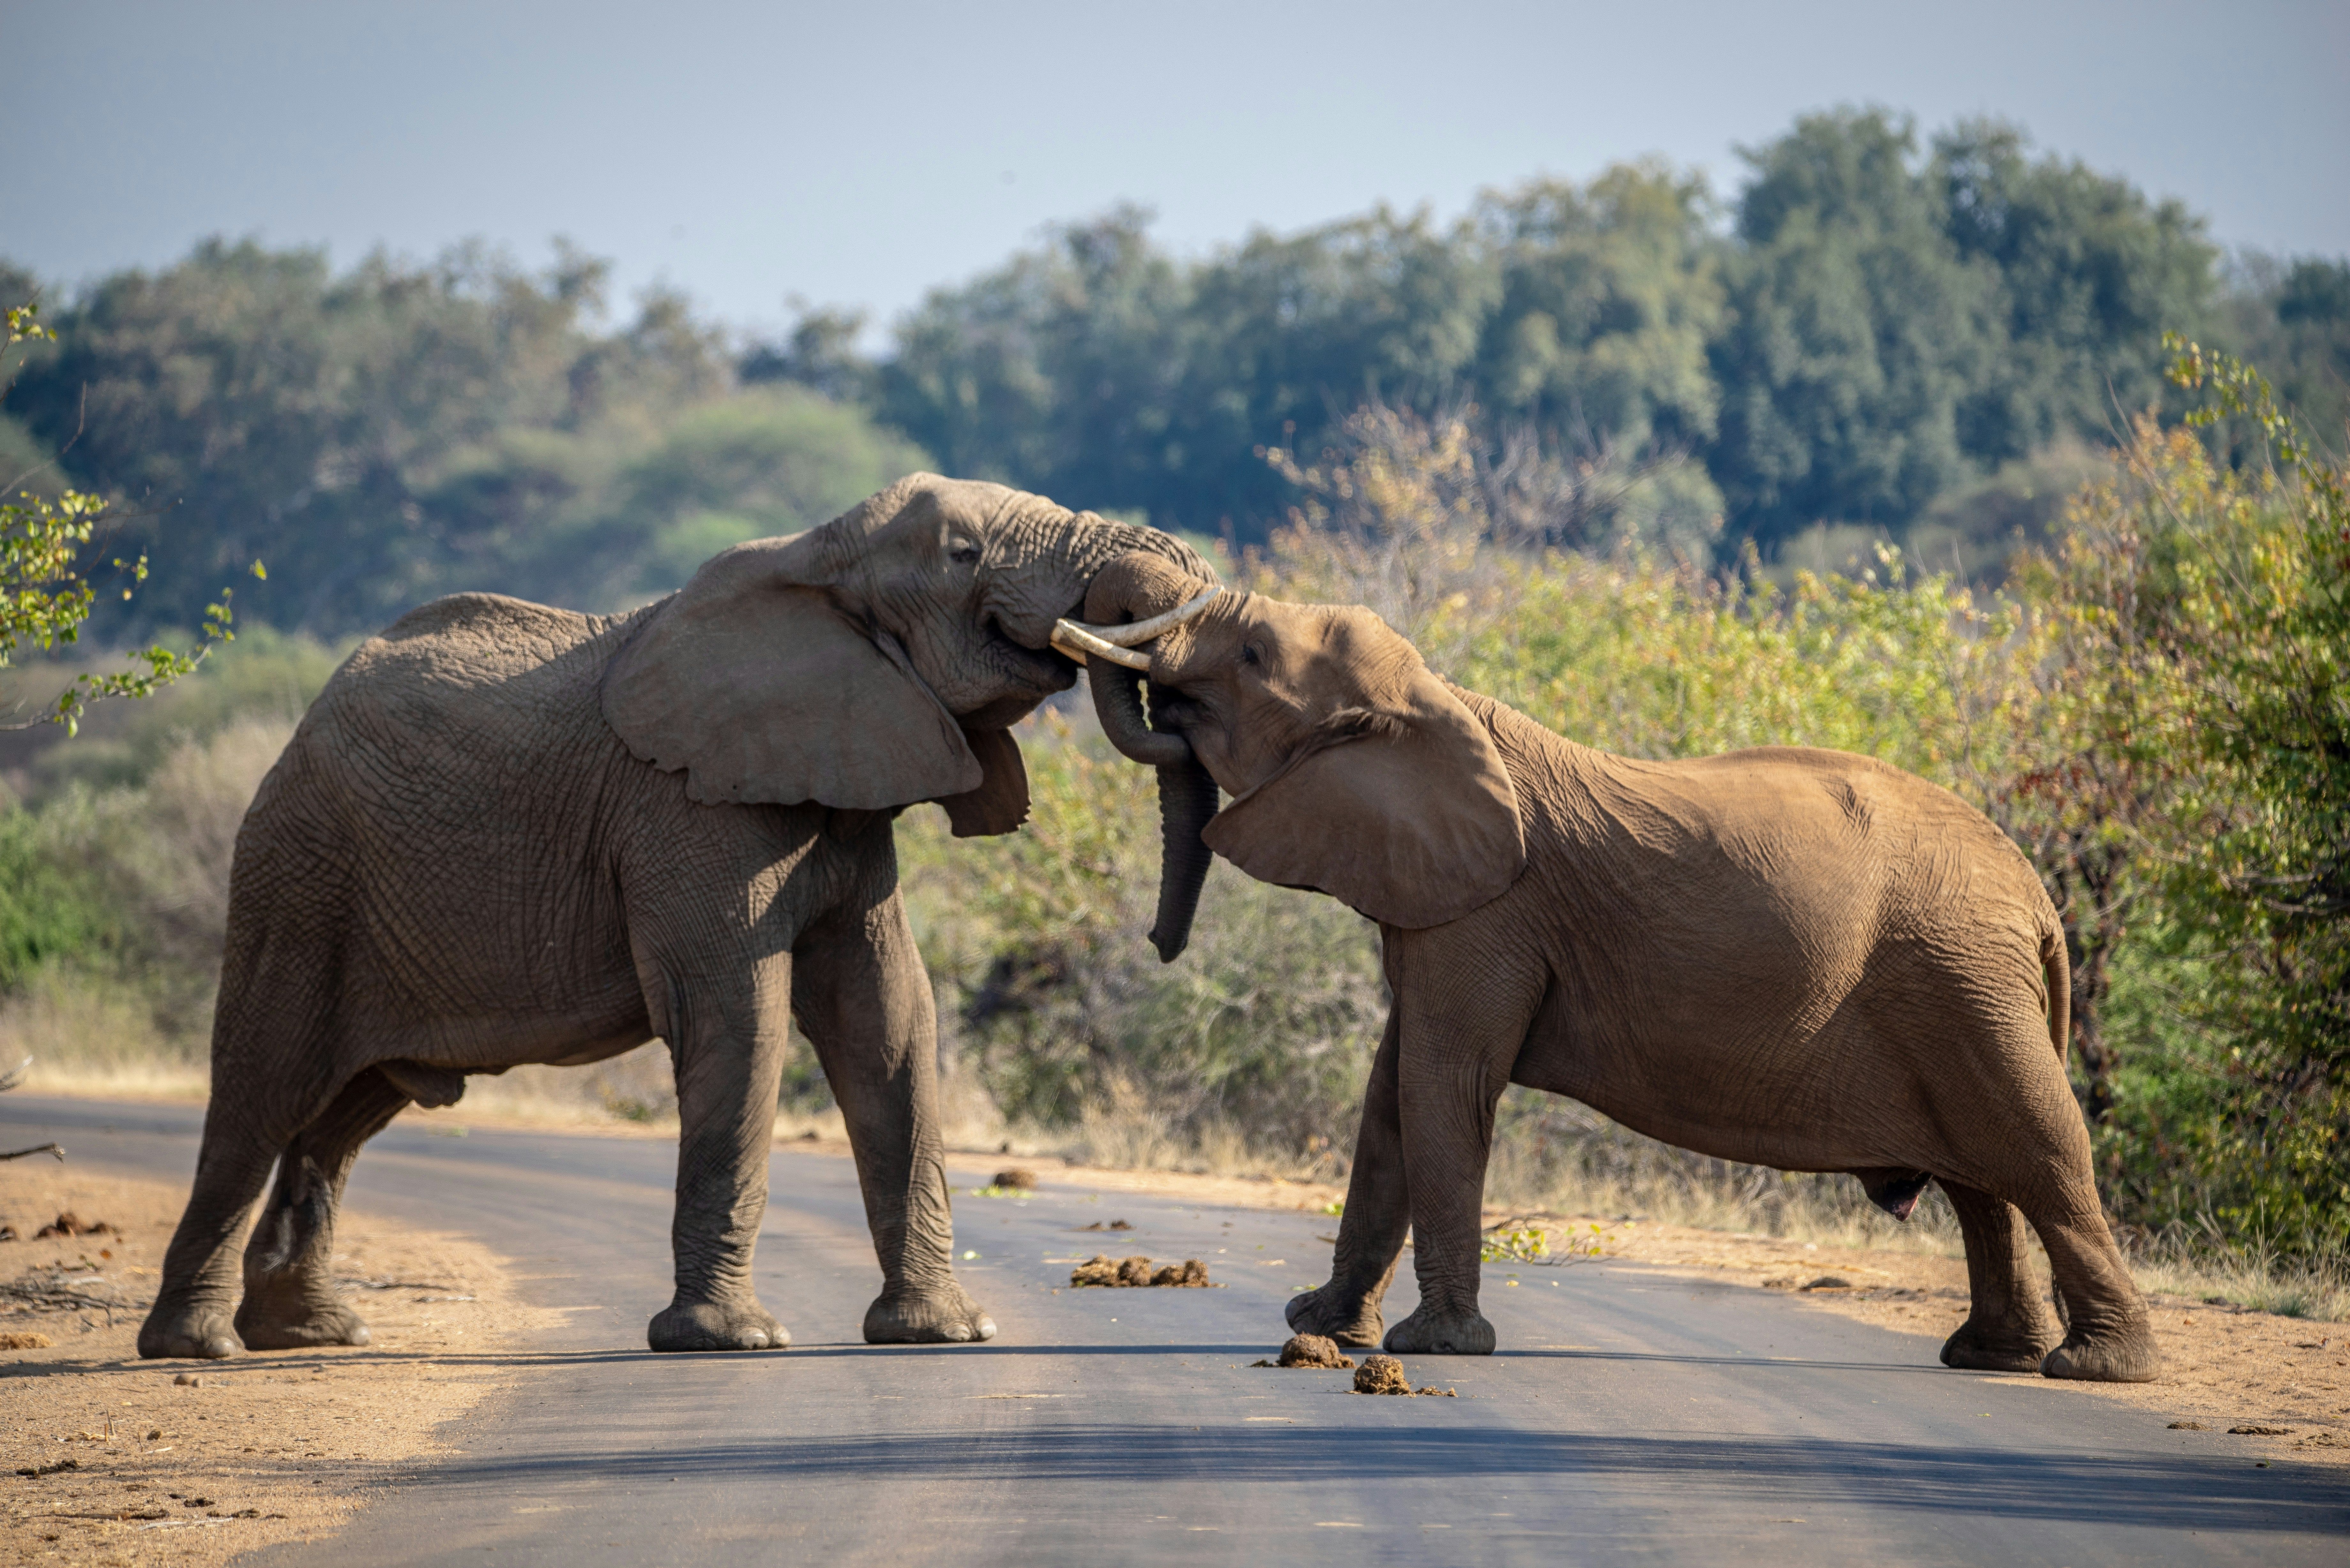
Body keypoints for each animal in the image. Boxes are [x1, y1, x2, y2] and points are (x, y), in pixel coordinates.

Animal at [139, 474, 1222, 1361]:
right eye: (962, 554)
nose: (1160, 945)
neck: (815, 553)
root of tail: (299, 732)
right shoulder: (687, 809)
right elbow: (738, 1015)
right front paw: (729, 1341)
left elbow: (888, 1019)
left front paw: (944, 1334)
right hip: (298, 876)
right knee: (261, 1090)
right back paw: (198, 1348)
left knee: (346, 1113)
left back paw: (311, 1334)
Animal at [1058, 554, 2161, 1383]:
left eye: (1250, 656)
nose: (1158, 944)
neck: (1434, 698)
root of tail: (2038, 898)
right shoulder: (1443, 905)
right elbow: (1388, 1096)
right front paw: (1322, 1327)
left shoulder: (1489, 913)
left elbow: (1441, 1085)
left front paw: (1432, 1347)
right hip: (1956, 980)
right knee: (1982, 1180)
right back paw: (1989, 1357)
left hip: (1963, 980)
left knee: (2038, 1149)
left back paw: (2094, 1368)